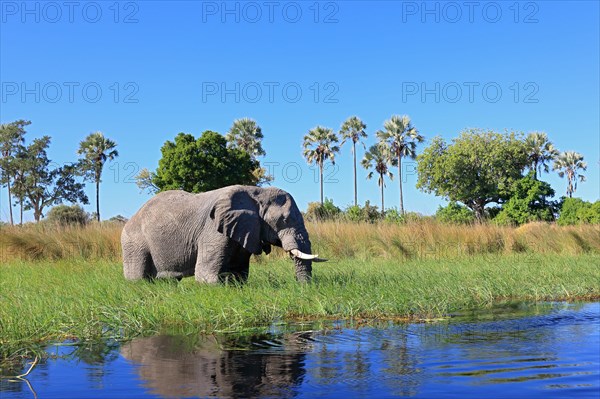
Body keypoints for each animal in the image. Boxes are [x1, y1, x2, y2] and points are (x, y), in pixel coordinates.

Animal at [120, 185, 324, 284]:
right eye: (285, 220)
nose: (301, 286)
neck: (257, 193)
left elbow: (239, 273)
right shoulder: (212, 230)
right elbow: (205, 275)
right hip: (133, 242)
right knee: (138, 278)